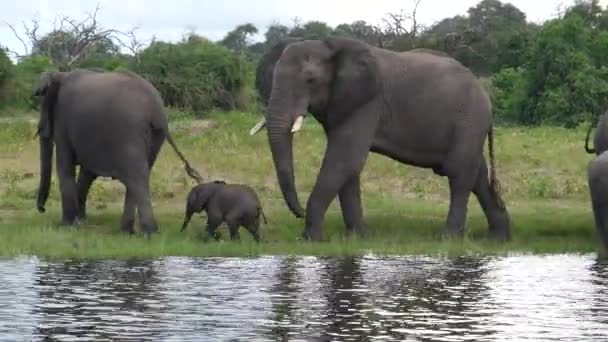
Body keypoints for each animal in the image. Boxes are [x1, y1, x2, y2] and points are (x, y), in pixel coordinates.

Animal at [32, 69, 202, 235]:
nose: (42, 209)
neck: (61, 74)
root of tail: (156, 111)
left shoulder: (63, 121)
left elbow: (65, 166)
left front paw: (67, 226)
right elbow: (87, 172)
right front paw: (80, 219)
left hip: (128, 131)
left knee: (136, 176)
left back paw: (148, 233)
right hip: (155, 136)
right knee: (140, 174)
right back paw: (127, 231)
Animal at [249, 36, 510, 240]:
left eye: (310, 80)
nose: (299, 211)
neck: (329, 45)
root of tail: (484, 92)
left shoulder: (367, 102)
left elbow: (344, 159)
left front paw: (311, 240)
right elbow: (348, 165)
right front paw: (357, 238)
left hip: (470, 120)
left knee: (459, 173)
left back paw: (448, 239)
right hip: (470, 126)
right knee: (477, 174)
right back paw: (499, 238)